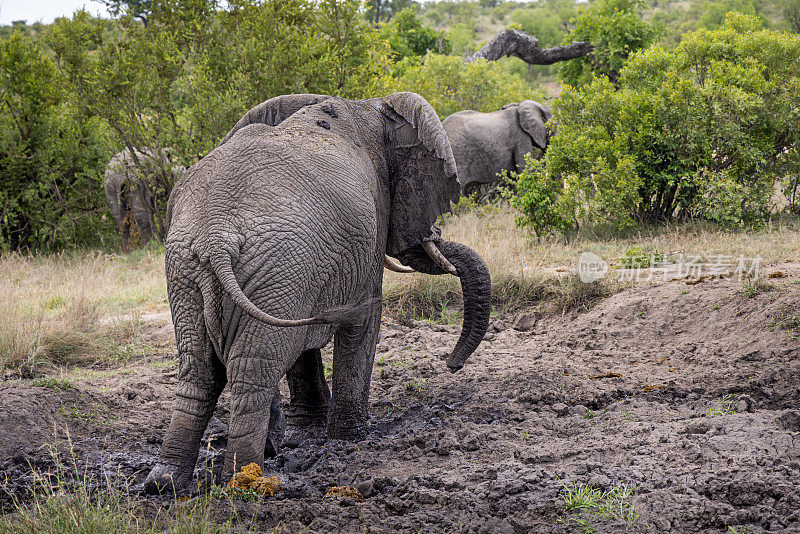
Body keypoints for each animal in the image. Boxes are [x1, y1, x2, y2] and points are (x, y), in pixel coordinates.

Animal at [145, 91, 494, 494]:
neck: (365, 105)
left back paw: (164, 482)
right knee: (252, 370)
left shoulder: (308, 269)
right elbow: (364, 320)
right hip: (276, 263)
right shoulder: (366, 225)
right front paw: (350, 439)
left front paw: (307, 436)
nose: (452, 365)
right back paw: (245, 481)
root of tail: (217, 235)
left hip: (194, 269)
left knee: (198, 370)